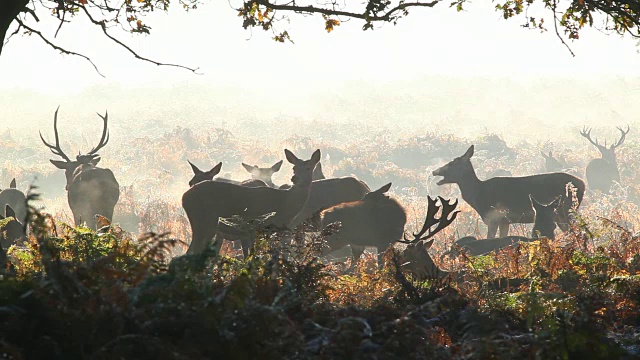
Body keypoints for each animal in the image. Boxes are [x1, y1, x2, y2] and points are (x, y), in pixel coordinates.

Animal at [182, 150, 322, 255]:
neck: (286, 202)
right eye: (294, 168)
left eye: (308, 167)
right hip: (205, 220)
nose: (294, 178)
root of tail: (184, 198)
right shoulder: (257, 227)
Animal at [430, 145, 584, 240]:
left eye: (451, 163)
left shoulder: (493, 217)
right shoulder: (505, 221)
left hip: (566, 210)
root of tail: (583, 185)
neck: (478, 195)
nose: (434, 171)